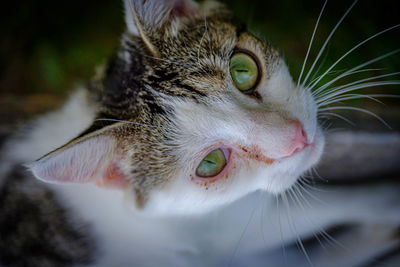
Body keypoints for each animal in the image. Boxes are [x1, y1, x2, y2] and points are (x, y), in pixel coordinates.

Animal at [0, 0, 400, 266]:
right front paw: (386, 204)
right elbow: (343, 203)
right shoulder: (229, 234)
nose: (297, 137)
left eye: (243, 70)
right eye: (211, 163)